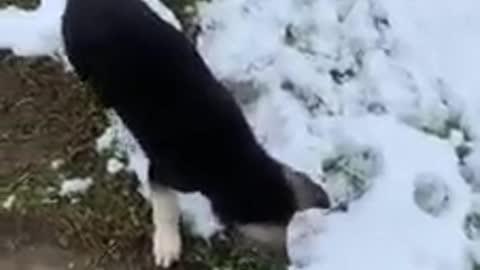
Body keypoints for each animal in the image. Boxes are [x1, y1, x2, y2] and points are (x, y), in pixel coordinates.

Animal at [61, 0, 330, 266]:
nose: (289, 261)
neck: (233, 159)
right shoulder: (162, 173)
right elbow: (166, 210)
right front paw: (167, 247)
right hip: (79, 55)